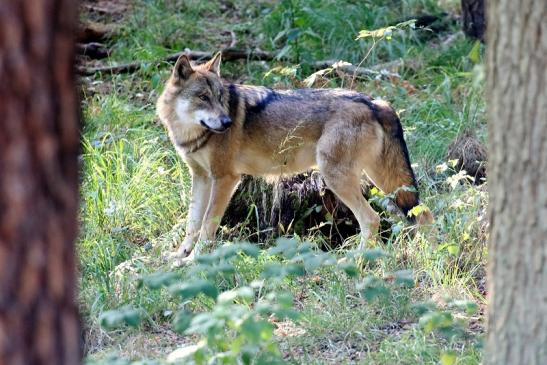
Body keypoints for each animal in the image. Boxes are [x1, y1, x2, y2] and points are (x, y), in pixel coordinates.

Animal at [155, 51, 432, 262]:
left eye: (221, 98)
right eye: (203, 97)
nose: (227, 122)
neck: (192, 134)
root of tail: (375, 101)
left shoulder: (225, 178)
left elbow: (206, 225)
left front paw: (194, 260)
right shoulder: (201, 177)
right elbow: (192, 223)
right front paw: (179, 254)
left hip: (338, 177)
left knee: (372, 219)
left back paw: (354, 259)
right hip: (383, 181)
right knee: (423, 214)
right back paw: (428, 254)